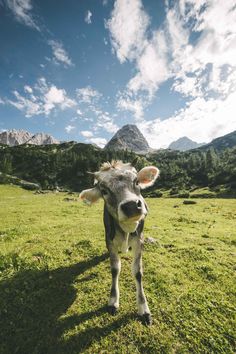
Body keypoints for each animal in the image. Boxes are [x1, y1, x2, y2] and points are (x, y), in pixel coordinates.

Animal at [79, 160, 159, 326]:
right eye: (104, 190)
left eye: (136, 182)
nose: (131, 205)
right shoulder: (109, 241)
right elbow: (115, 269)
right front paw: (113, 300)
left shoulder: (139, 241)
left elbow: (138, 271)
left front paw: (144, 308)